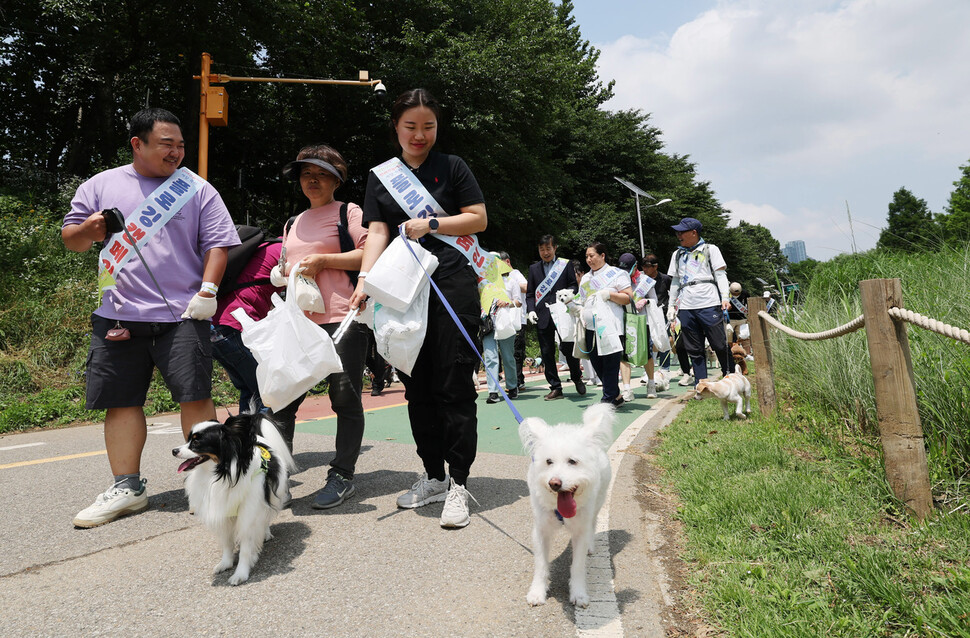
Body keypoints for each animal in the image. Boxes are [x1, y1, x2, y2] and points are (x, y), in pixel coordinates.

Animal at [172, 416, 296, 584]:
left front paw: (241, 573)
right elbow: (227, 543)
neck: (219, 474)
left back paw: (265, 534)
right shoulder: (224, 514)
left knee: (265, 517)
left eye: (197, 442)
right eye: (188, 439)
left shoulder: (248, 514)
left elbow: (245, 548)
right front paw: (226, 563)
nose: (174, 451)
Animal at [516, 404, 612, 608]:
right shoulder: (541, 531)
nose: (554, 483)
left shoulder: (580, 531)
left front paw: (579, 593)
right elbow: (541, 565)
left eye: (572, 461)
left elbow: (578, 566)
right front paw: (537, 592)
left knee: (593, 524)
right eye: (548, 462)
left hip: (598, 503)